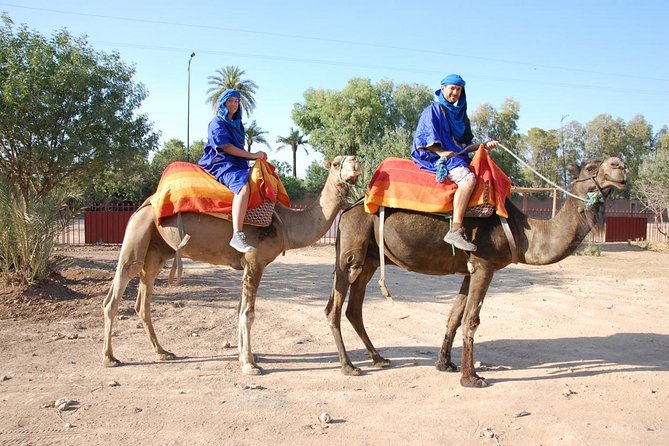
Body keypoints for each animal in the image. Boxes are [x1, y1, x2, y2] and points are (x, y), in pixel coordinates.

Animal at [102, 155, 360, 374]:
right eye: (336, 163)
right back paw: (110, 357)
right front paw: (249, 364)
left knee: (143, 299)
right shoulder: (255, 261)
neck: (286, 224)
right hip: (138, 233)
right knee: (115, 294)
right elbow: (248, 312)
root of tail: (145, 203)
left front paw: (246, 356)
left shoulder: (246, 265)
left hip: (157, 250)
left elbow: (239, 309)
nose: (356, 161)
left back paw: (162, 352)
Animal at [324, 156, 628, 386]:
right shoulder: (484, 264)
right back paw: (349, 366)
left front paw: (445, 364)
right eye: (591, 168)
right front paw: (471, 378)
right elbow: (472, 320)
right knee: (334, 308)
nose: (620, 166)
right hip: (351, 253)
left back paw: (378, 358)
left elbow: (454, 316)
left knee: (354, 309)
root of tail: (347, 210)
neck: (520, 231)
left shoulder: (469, 270)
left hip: (370, 260)